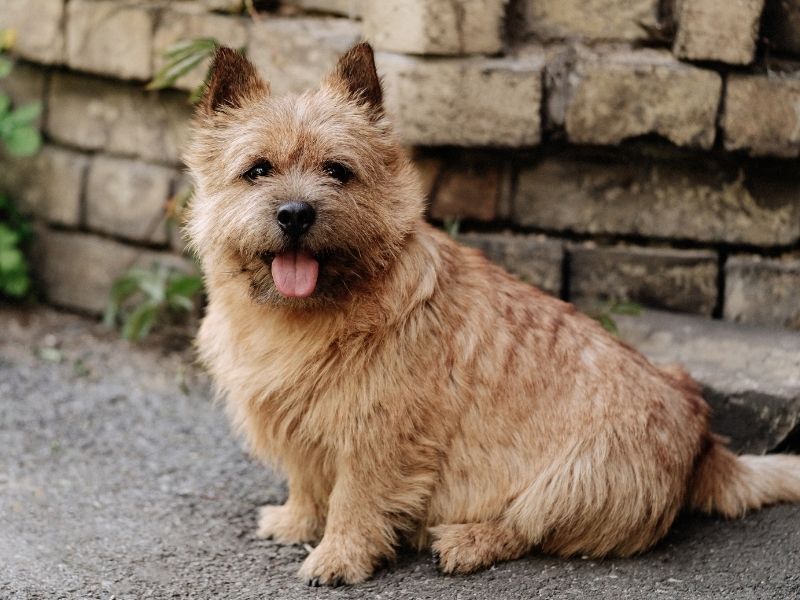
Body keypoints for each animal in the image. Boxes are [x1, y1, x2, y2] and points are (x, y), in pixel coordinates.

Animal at [184, 43, 800, 584]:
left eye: (337, 170)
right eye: (257, 170)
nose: (295, 213)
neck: (302, 316)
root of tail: (707, 442)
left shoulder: (378, 435)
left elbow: (354, 501)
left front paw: (338, 558)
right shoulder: (296, 419)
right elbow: (308, 480)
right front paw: (295, 521)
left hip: (578, 474)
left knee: (528, 525)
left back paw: (467, 540)